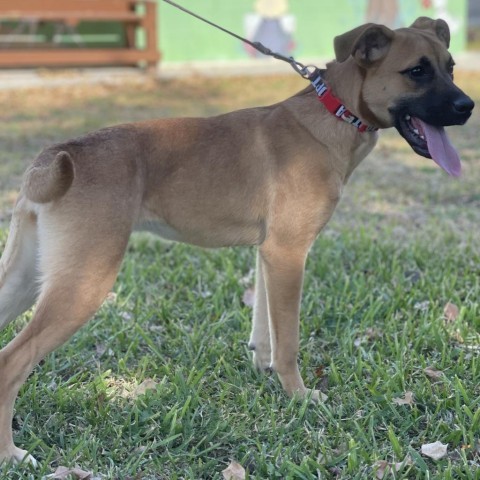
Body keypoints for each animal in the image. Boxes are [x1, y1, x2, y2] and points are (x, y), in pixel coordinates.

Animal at [0, 17, 474, 464]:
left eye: (450, 67)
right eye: (417, 71)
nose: (468, 106)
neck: (333, 113)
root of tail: (53, 157)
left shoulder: (269, 254)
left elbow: (265, 329)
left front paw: (266, 372)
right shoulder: (289, 254)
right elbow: (289, 341)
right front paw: (299, 396)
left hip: (24, 282)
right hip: (83, 283)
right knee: (11, 363)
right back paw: (11, 454)